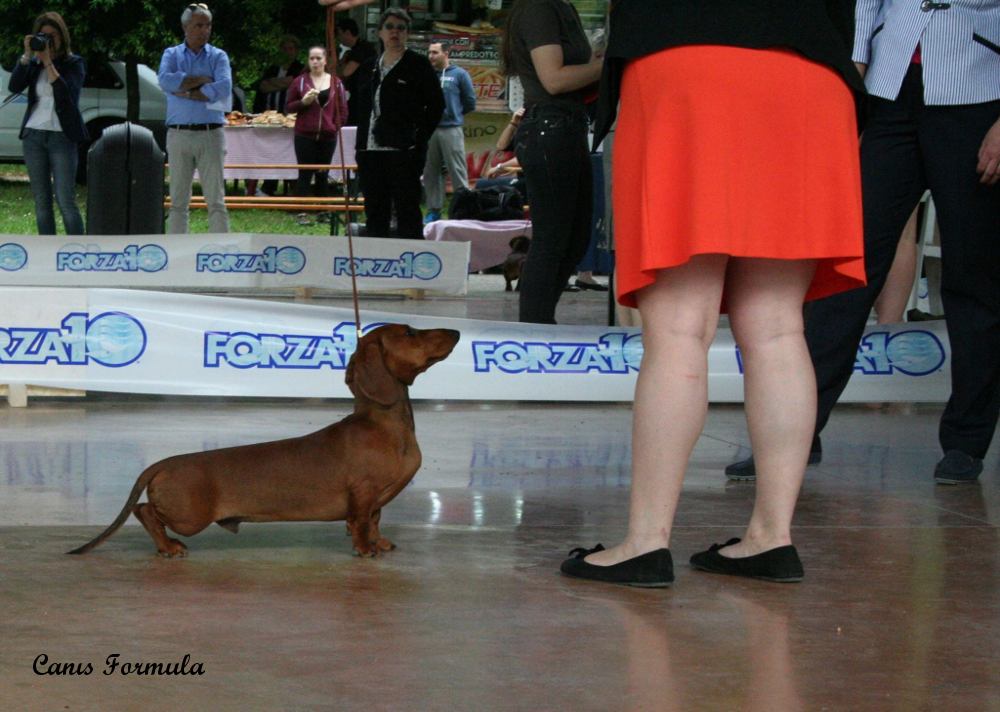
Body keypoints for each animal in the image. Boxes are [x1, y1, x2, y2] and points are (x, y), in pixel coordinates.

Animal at [67, 326, 460, 560]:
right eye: (410, 332)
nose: (456, 331)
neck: (384, 426)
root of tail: (164, 462)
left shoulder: (376, 499)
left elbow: (376, 521)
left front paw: (379, 542)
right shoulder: (363, 493)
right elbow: (363, 521)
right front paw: (365, 548)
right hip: (190, 515)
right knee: (145, 511)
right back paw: (169, 547)